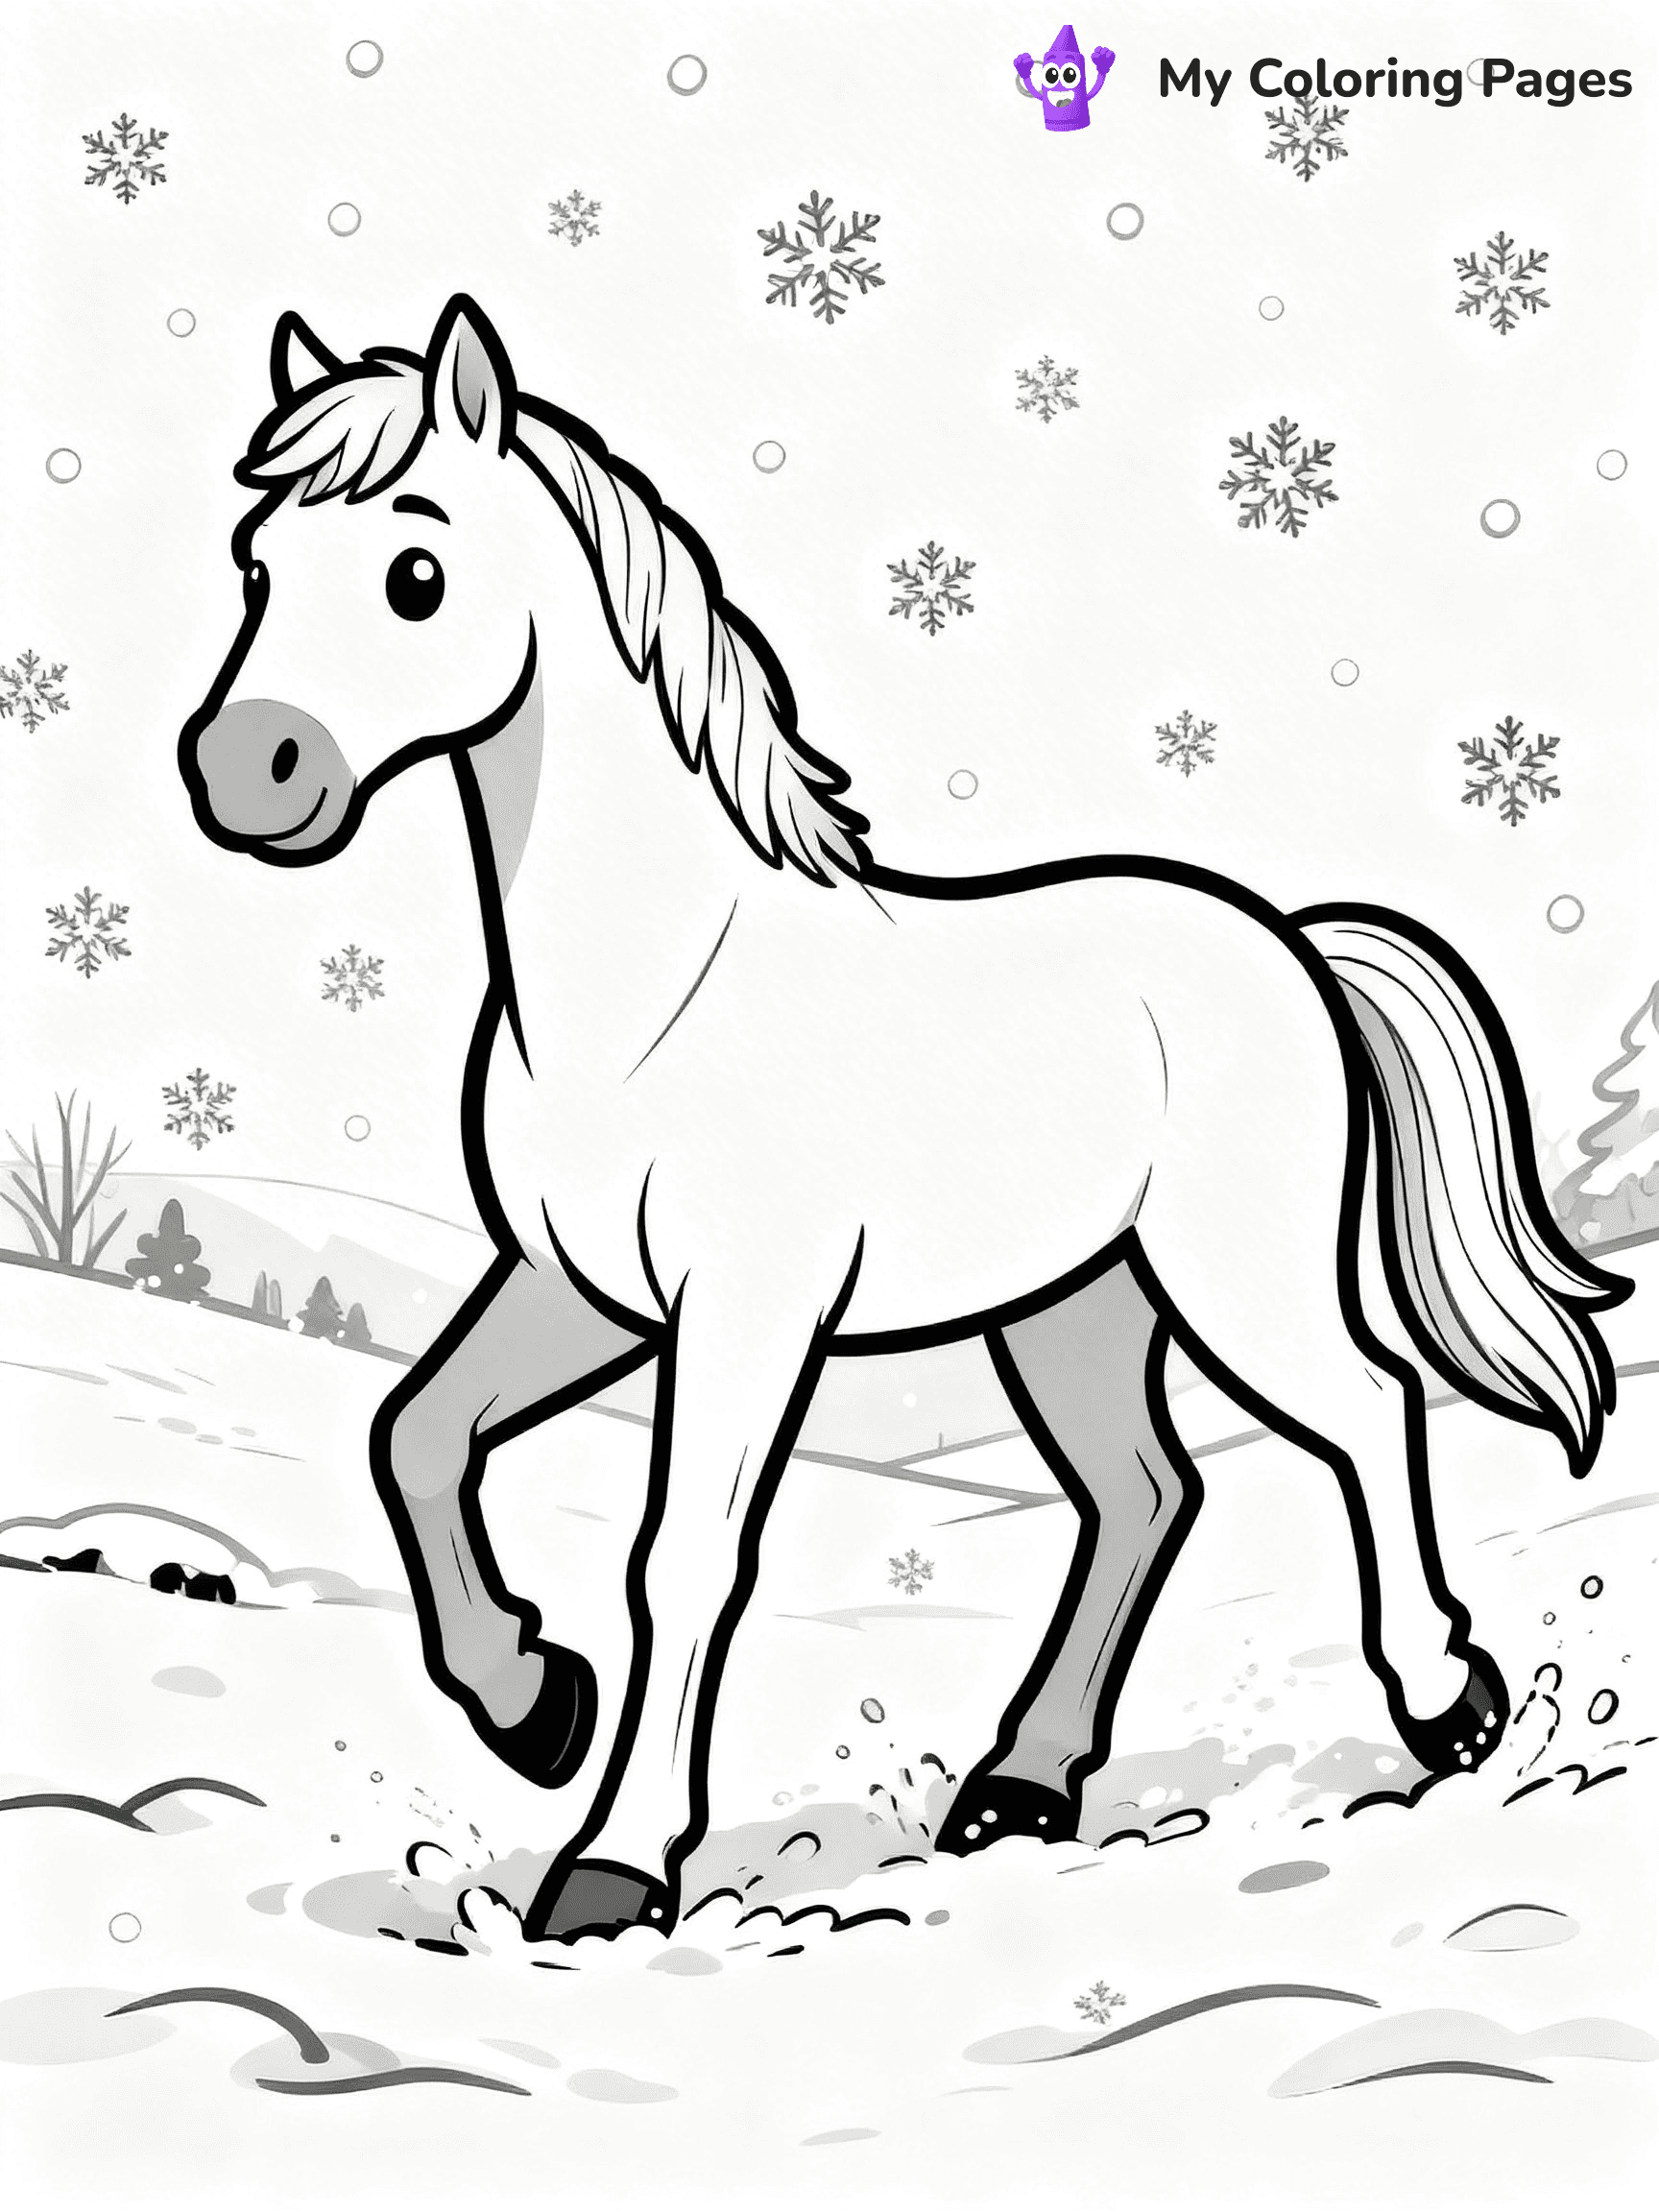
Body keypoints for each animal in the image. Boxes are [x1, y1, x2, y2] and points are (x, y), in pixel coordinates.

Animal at [179, 295, 1626, 1943]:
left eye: (415, 576)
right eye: (256, 564)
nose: (246, 772)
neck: (653, 984)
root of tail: (1287, 942)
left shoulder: (745, 1308)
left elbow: (684, 1558)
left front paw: (614, 1867)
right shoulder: (577, 1284)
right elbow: (412, 1434)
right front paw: (533, 1703)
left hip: (1233, 1280)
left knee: (1368, 1407)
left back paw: (1450, 1709)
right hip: (1072, 1304)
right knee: (1145, 1494)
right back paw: (1021, 1789)